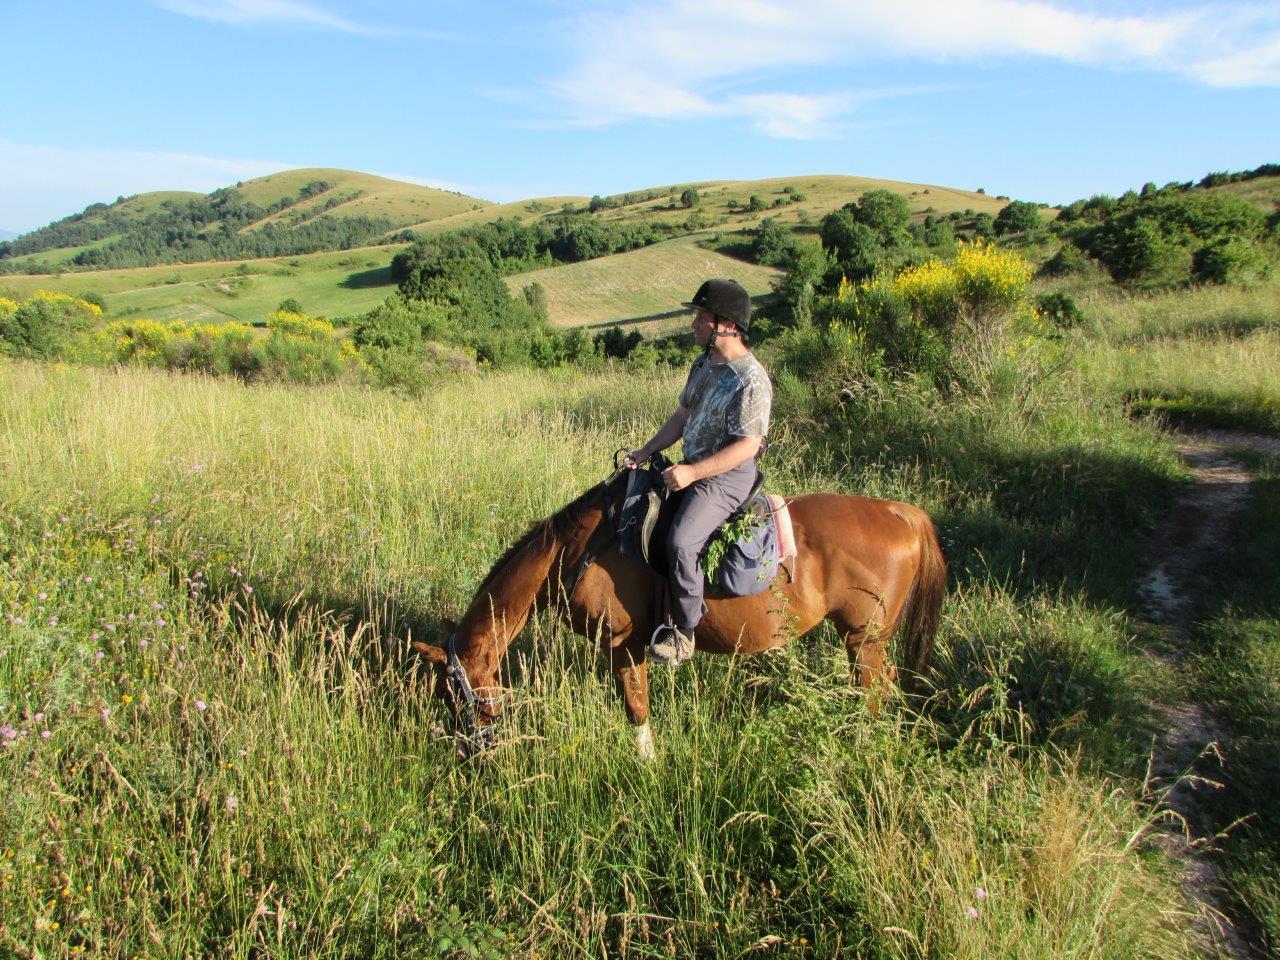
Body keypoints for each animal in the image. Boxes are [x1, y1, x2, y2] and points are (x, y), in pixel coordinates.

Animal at [414, 471, 947, 757]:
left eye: (451, 694)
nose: (472, 750)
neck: (574, 552)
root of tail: (899, 512)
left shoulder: (622, 646)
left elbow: (636, 708)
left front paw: (647, 765)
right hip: (865, 643)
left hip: (864, 641)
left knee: (875, 693)